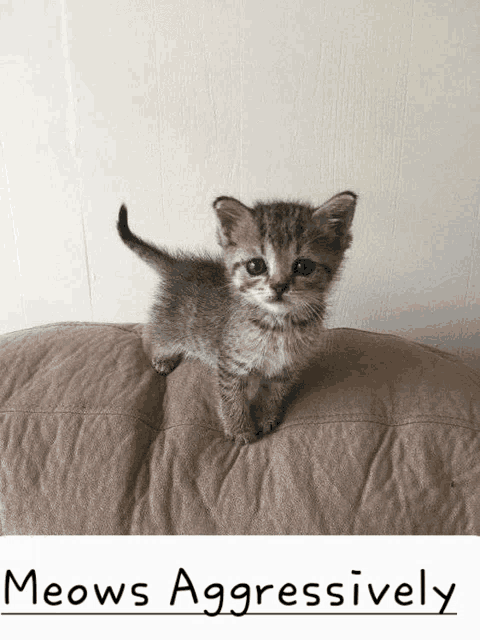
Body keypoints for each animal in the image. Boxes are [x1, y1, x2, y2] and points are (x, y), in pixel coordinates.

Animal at [116, 191, 356, 444]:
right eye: (255, 265)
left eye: (304, 266)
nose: (279, 286)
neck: (279, 325)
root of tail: (180, 266)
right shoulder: (230, 365)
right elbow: (232, 400)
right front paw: (240, 430)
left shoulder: (285, 368)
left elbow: (273, 394)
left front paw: (266, 418)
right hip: (170, 328)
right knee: (151, 334)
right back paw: (162, 358)